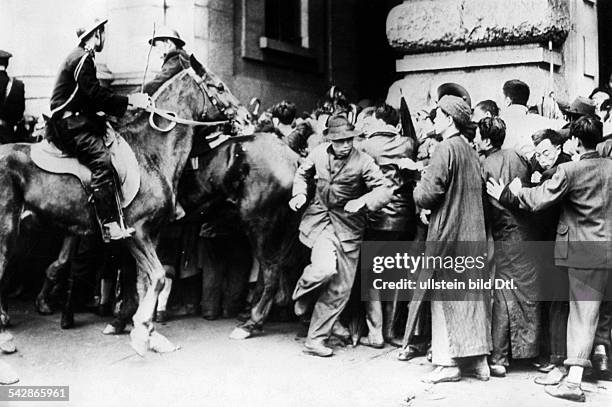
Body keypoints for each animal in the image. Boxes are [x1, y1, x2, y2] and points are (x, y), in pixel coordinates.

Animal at [0, 64, 228, 382]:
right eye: (218, 86)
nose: (245, 118)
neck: (151, 153)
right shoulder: (137, 233)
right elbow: (157, 277)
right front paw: (141, 334)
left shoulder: (151, 235)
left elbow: (147, 283)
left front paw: (150, 334)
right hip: (7, 233)